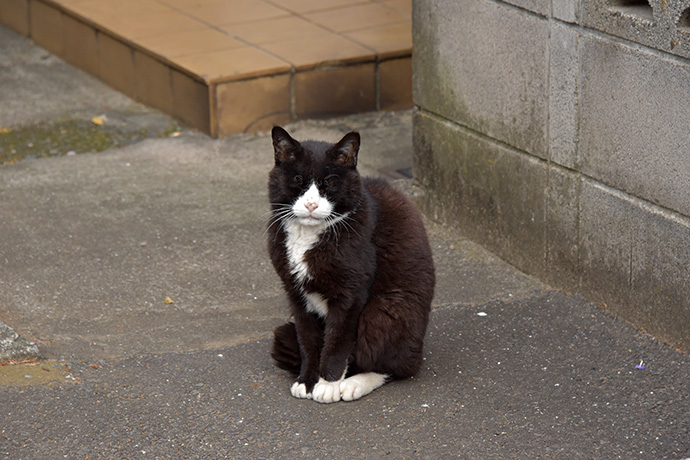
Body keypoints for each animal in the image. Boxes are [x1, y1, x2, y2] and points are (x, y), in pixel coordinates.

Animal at [266, 126, 432, 402]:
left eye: (330, 182)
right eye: (298, 179)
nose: (311, 204)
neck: (308, 237)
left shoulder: (350, 293)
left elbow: (337, 341)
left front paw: (328, 384)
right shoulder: (295, 293)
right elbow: (308, 340)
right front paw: (307, 381)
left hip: (387, 309)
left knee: (397, 366)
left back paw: (354, 384)